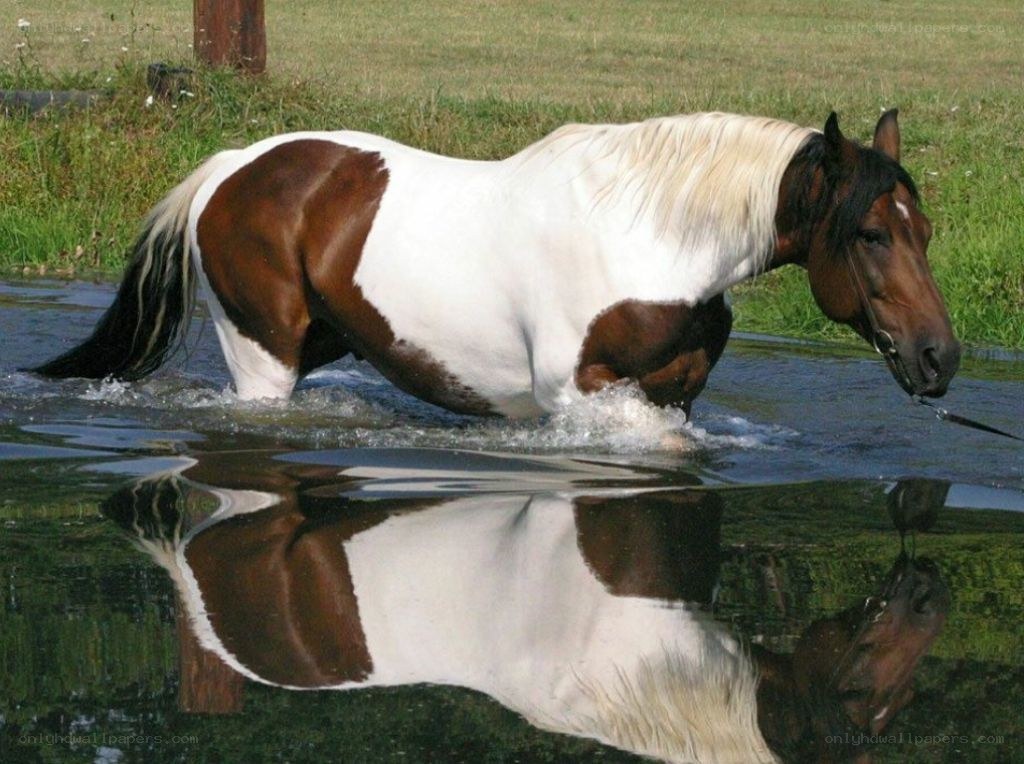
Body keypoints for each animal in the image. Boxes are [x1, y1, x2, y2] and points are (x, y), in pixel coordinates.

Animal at [33, 109, 959, 418]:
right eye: (871, 235)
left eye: (924, 230)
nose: (939, 357)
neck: (652, 240)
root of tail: (233, 165)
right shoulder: (576, 394)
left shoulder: (675, 397)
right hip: (263, 355)